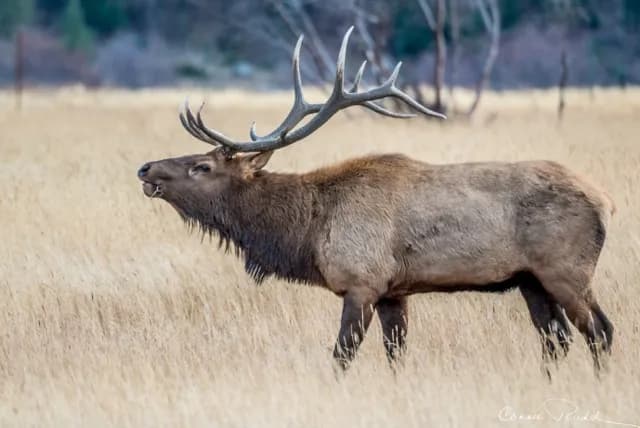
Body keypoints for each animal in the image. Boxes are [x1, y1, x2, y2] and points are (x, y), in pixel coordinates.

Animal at [137, 27, 615, 373]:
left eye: (202, 166)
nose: (146, 169)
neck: (308, 231)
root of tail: (606, 202)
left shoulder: (361, 282)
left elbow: (341, 357)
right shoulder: (393, 291)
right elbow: (395, 356)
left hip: (566, 270)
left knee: (600, 332)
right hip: (530, 280)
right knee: (557, 340)